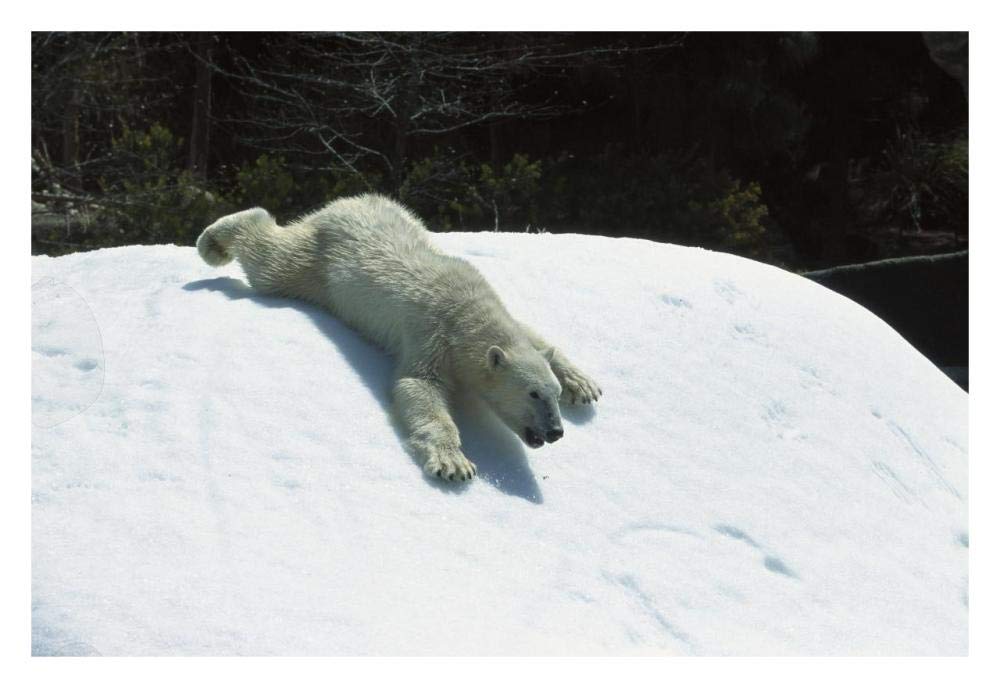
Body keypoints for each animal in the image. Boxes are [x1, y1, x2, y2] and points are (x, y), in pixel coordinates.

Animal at [196, 193, 601, 481]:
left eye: (554, 393)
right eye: (532, 393)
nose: (555, 432)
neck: (467, 311)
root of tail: (341, 205)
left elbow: (535, 337)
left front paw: (584, 385)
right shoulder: (432, 332)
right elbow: (418, 385)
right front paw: (454, 463)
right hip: (319, 265)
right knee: (272, 260)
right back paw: (213, 241)